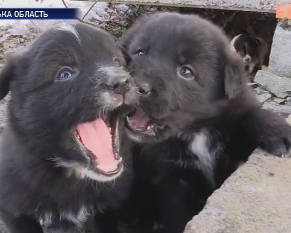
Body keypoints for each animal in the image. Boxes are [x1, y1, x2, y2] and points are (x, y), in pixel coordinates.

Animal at [0, 22, 139, 233]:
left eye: (117, 62)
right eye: (65, 74)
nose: (122, 82)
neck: (74, 174)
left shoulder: (110, 208)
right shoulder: (16, 213)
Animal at [118, 12, 291, 233]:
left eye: (186, 71)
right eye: (140, 52)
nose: (136, 86)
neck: (196, 131)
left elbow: (251, 115)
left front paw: (277, 132)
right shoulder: (174, 181)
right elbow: (179, 217)